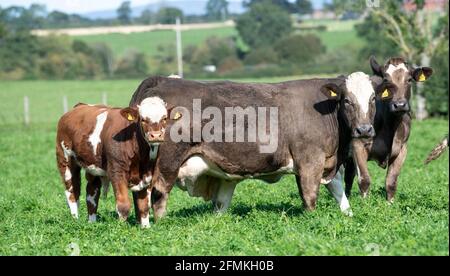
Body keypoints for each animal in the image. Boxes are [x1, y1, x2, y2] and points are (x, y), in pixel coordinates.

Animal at [344, 56, 432, 203]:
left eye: (409, 79)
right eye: (386, 80)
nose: (399, 105)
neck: (391, 126)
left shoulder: (402, 149)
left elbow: (391, 182)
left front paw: (390, 204)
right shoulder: (358, 145)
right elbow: (364, 180)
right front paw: (365, 205)